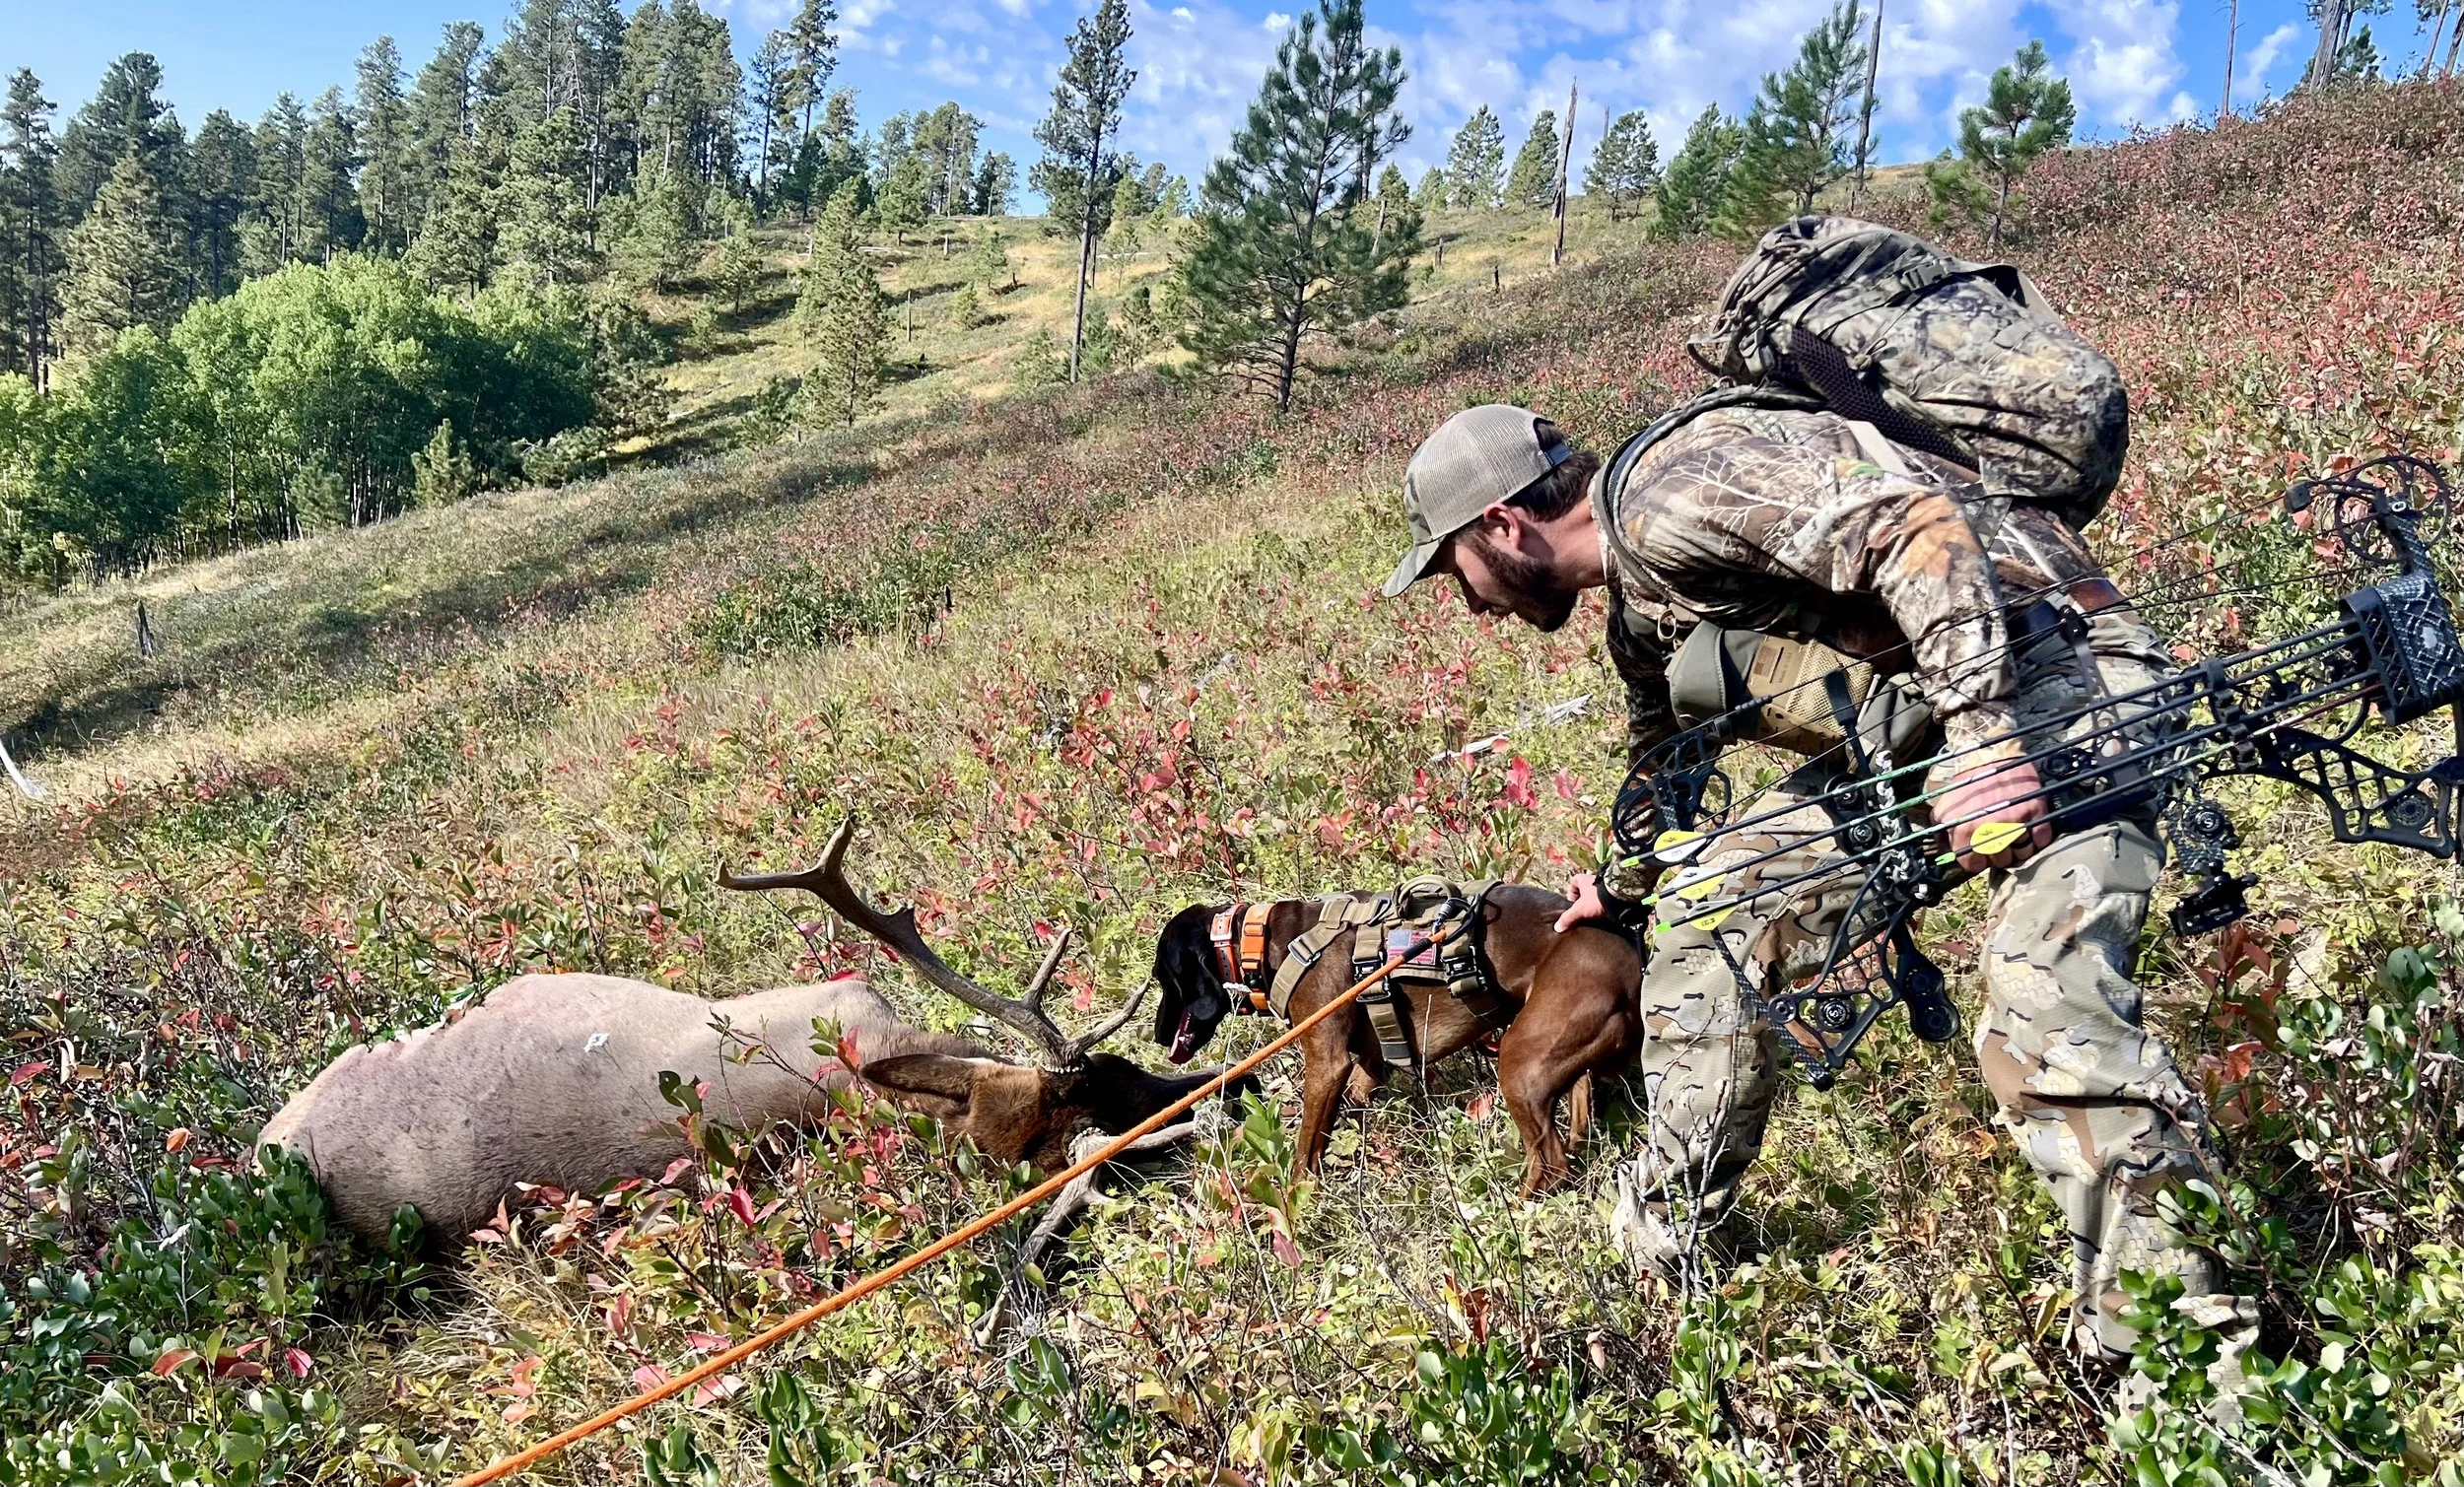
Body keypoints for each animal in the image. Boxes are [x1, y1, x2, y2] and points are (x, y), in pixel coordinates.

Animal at [1148, 883, 1643, 1198]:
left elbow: (1307, 1147)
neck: (1264, 942)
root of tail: (1632, 965)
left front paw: (1298, 1200)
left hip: (1521, 1067)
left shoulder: (1327, 1062)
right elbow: (1345, 1111)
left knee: (1551, 1161)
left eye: (1163, 978)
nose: (1157, 1035)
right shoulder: (1369, 1065)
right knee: (1577, 1124)